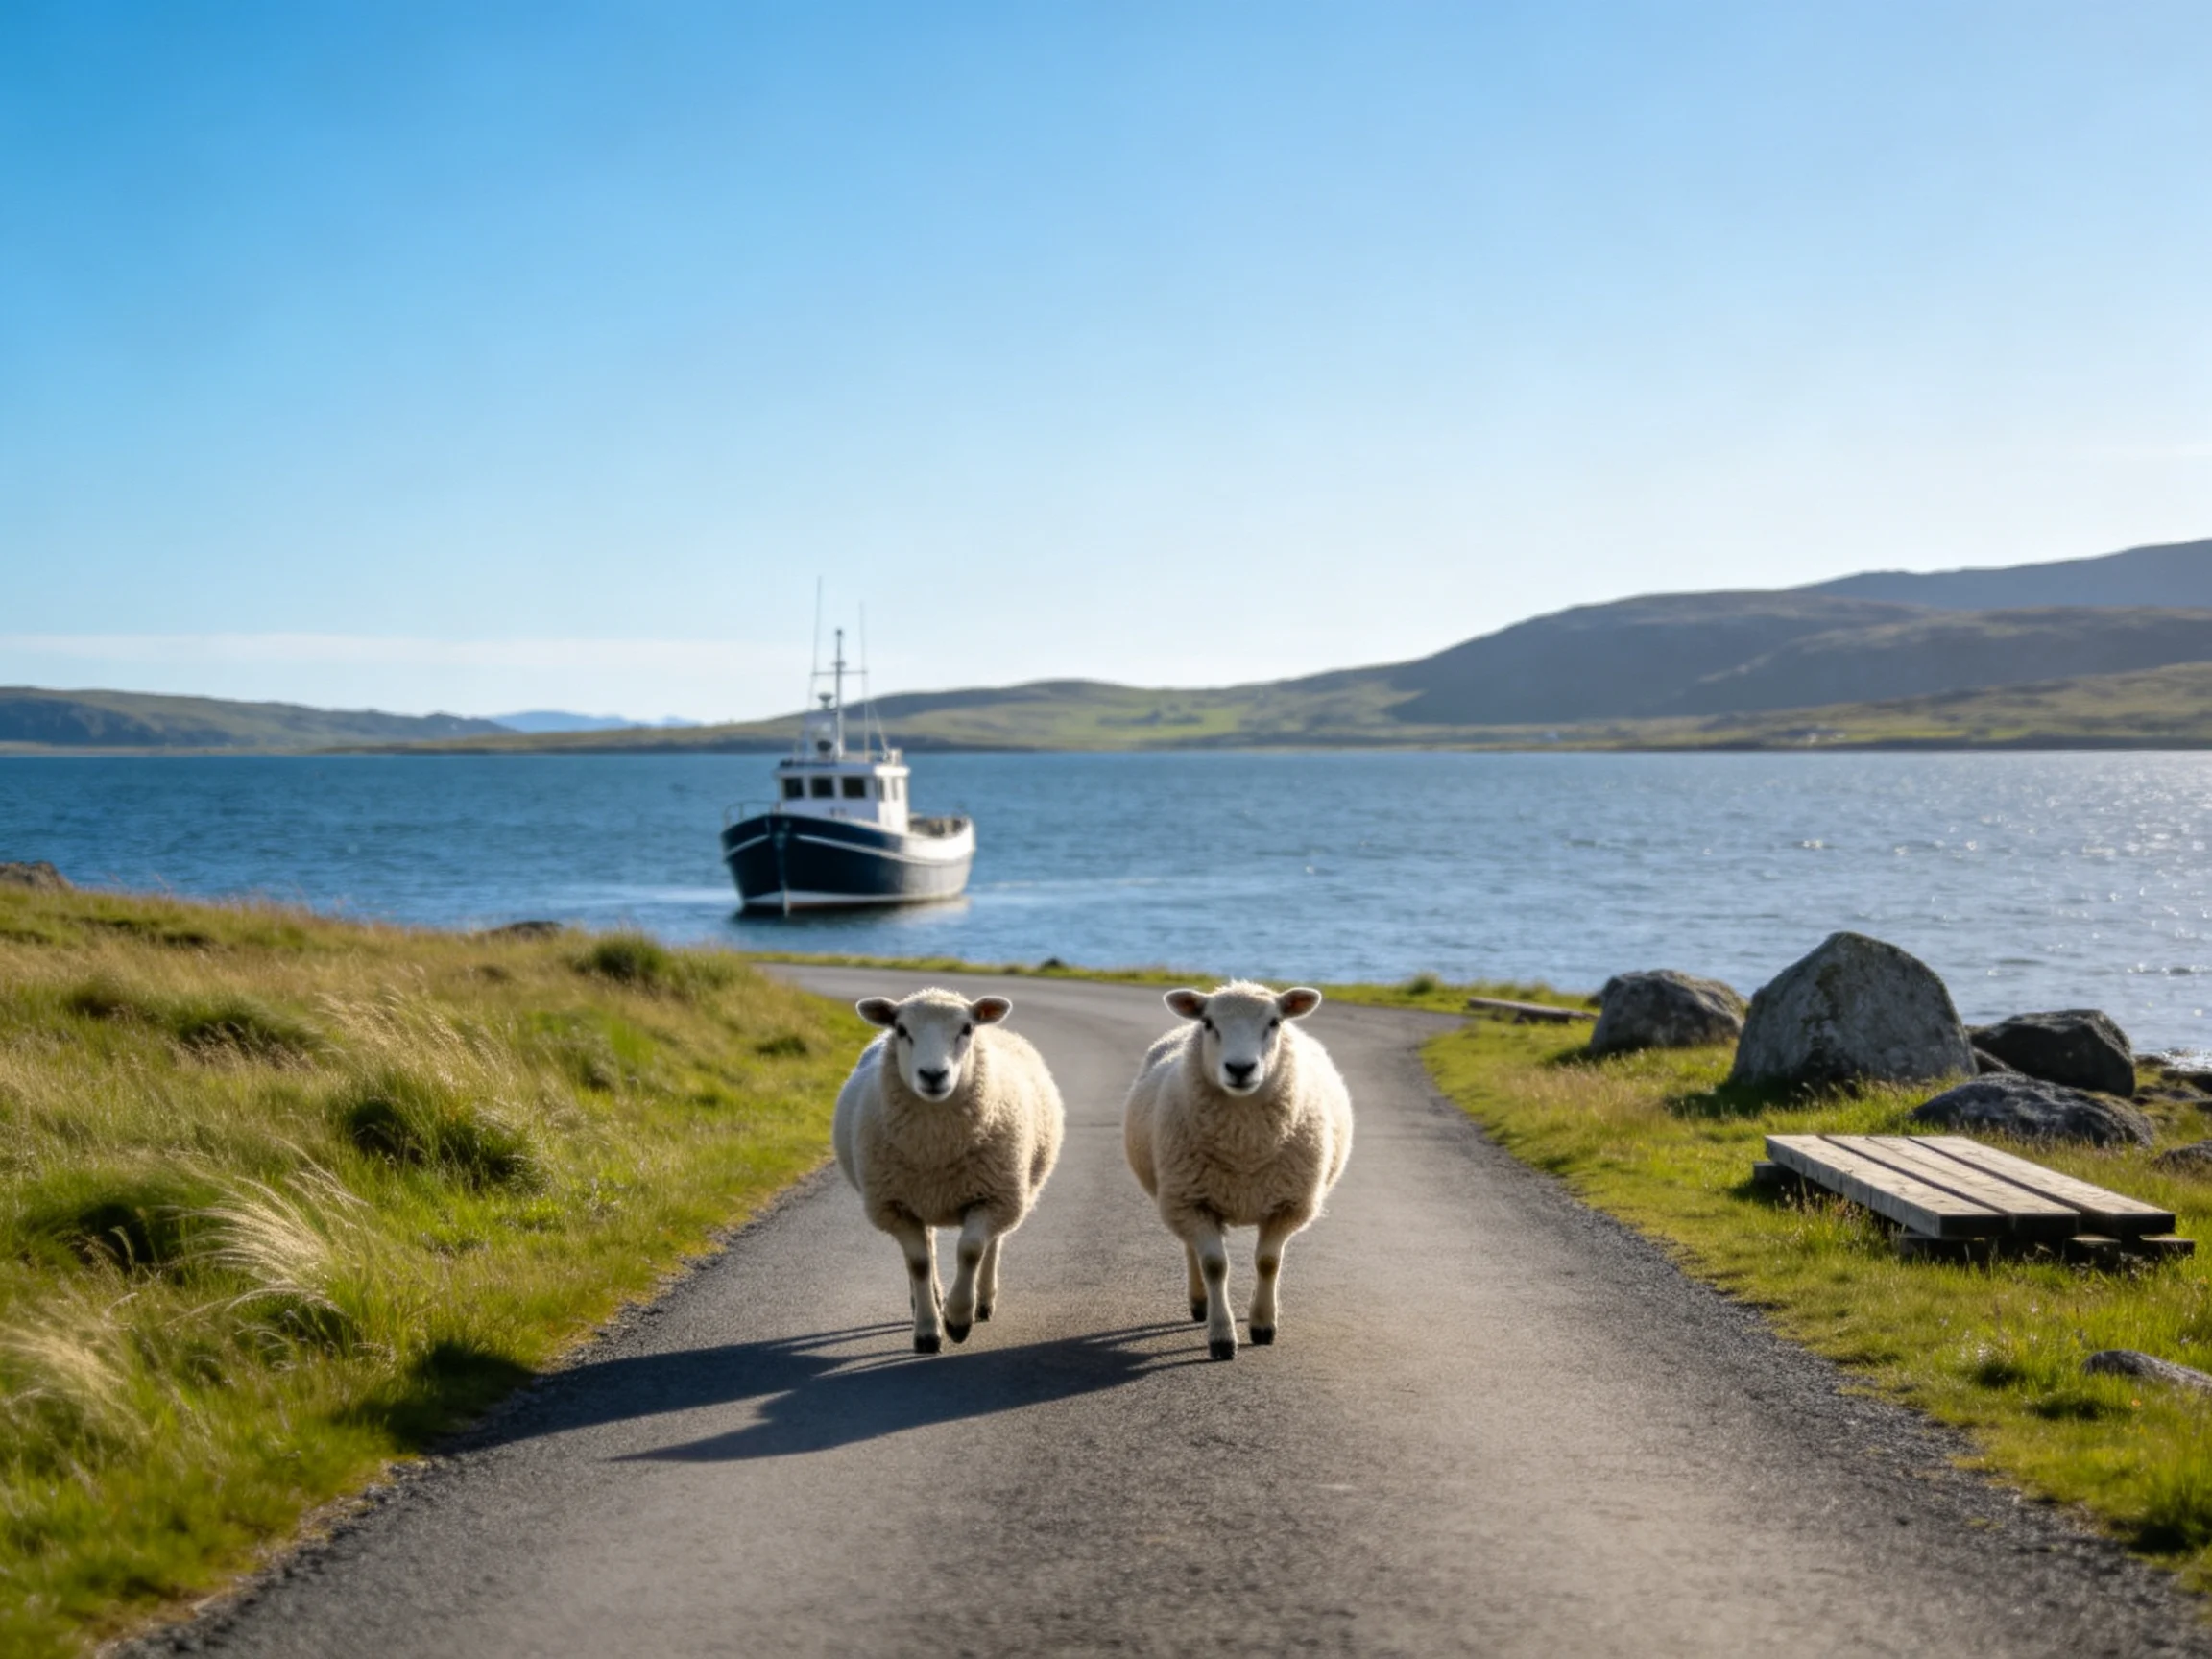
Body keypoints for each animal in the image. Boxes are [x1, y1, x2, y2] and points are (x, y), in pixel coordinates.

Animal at [834, 988, 1066, 1353]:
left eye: (966, 1029)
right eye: (901, 1030)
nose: (933, 1075)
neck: (936, 1148)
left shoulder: (993, 1197)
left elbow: (970, 1251)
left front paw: (958, 1319)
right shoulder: (894, 1206)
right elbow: (918, 1263)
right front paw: (928, 1331)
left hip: (1009, 1192)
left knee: (992, 1243)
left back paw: (983, 1301)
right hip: (916, 1196)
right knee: (925, 1250)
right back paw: (926, 1298)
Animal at [1122, 981, 1352, 1361]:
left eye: (1274, 1022)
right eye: (1208, 1023)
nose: (1240, 1068)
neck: (1244, 1147)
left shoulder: (1288, 1204)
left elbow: (1268, 1262)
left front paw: (1263, 1324)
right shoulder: (1192, 1201)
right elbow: (1215, 1265)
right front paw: (1221, 1336)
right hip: (1179, 1196)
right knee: (1192, 1249)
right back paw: (1200, 1303)